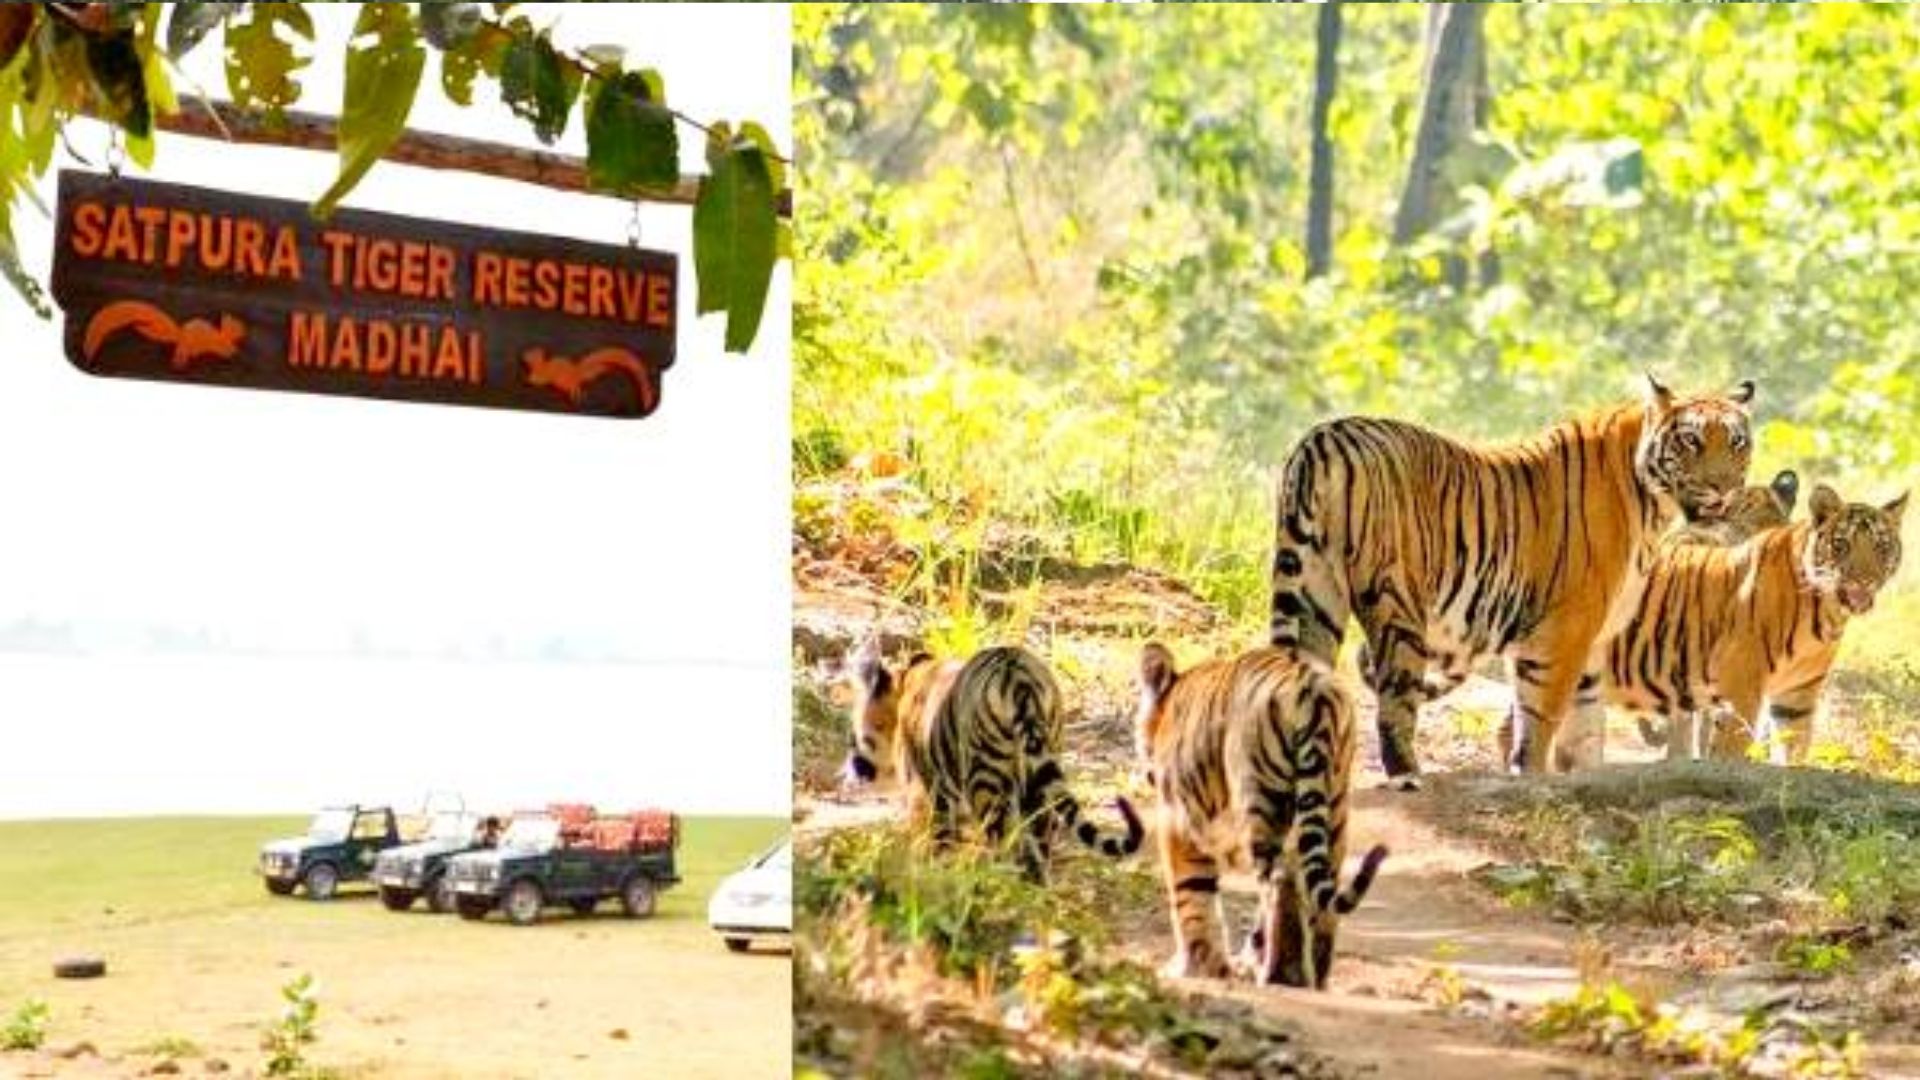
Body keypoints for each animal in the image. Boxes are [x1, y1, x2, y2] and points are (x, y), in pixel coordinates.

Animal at [844, 638, 1136, 876]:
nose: (849, 769)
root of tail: (1019, 677)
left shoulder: (925, 795)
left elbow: (933, 842)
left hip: (985, 781)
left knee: (1002, 838)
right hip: (1041, 771)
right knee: (1040, 836)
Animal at [1128, 638, 1390, 983]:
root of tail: (1313, 687)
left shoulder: (1179, 820)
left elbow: (1190, 895)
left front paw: (1192, 967)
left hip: (1262, 807)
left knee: (1278, 884)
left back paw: (1274, 972)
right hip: (1334, 809)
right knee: (1320, 895)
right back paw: (1313, 978)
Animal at [1274, 374, 1758, 776]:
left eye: (1737, 442)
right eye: (1692, 440)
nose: (1723, 489)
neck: (1654, 504)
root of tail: (1327, 437)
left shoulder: (1593, 640)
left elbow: (1583, 732)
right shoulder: (1563, 631)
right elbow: (1539, 721)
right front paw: (1532, 777)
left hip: (1313, 593)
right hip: (1397, 604)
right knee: (1394, 704)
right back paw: (1407, 777)